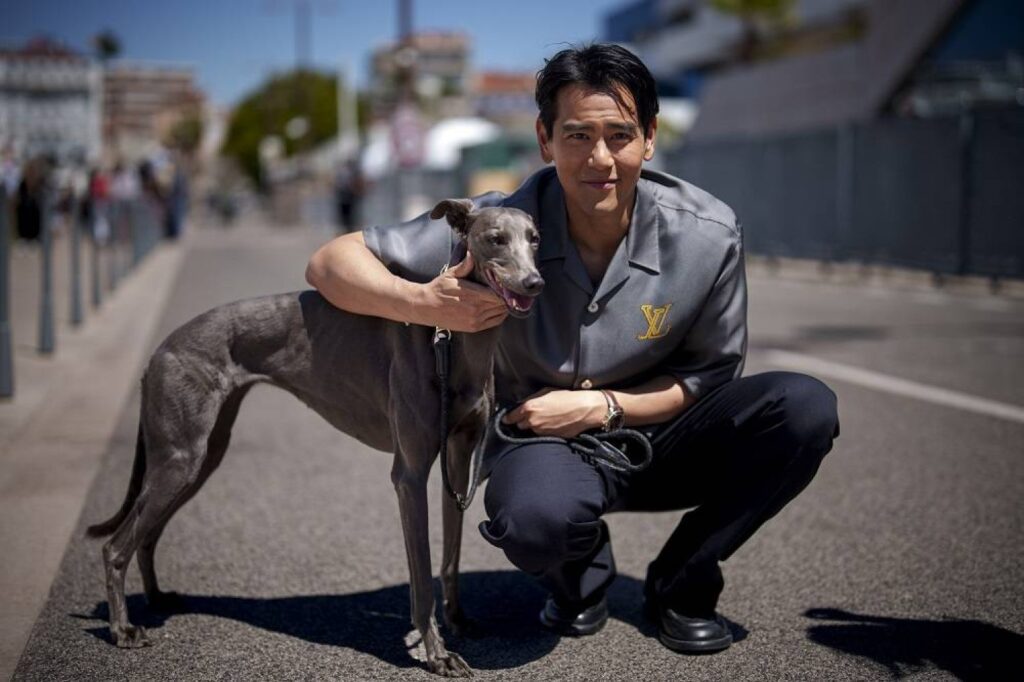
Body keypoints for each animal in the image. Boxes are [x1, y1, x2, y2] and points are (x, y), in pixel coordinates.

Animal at [90, 197, 544, 675]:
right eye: (495, 238)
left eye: (535, 239)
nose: (534, 283)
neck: (450, 340)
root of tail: (159, 351)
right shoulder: (409, 474)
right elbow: (420, 575)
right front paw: (437, 654)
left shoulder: (457, 461)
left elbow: (450, 558)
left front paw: (458, 622)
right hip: (180, 459)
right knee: (115, 546)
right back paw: (123, 629)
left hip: (199, 458)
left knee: (148, 534)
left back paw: (158, 600)